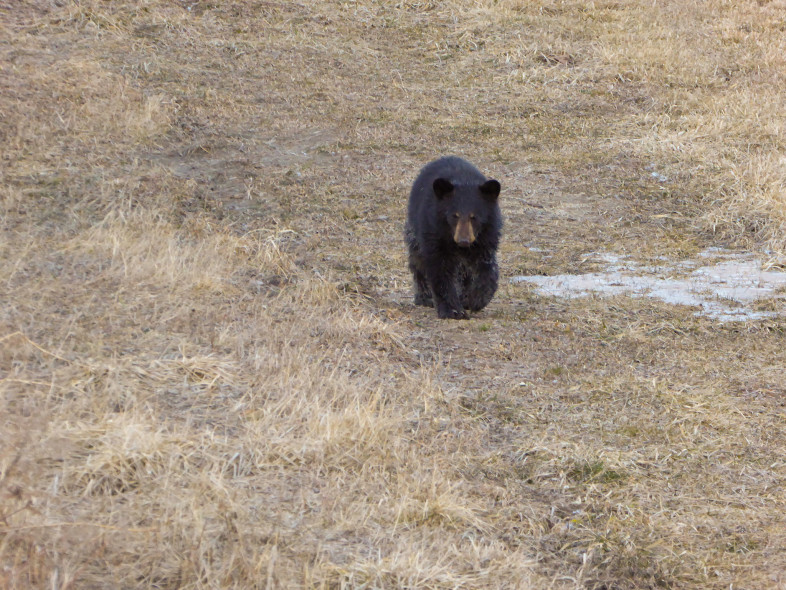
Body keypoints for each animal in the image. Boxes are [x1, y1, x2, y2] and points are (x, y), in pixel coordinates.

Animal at [404, 156, 502, 320]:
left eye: (474, 217)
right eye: (454, 215)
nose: (463, 240)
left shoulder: (486, 236)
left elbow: (487, 268)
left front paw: (477, 299)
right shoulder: (433, 233)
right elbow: (440, 270)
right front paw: (452, 310)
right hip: (414, 227)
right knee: (417, 259)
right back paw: (424, 296)